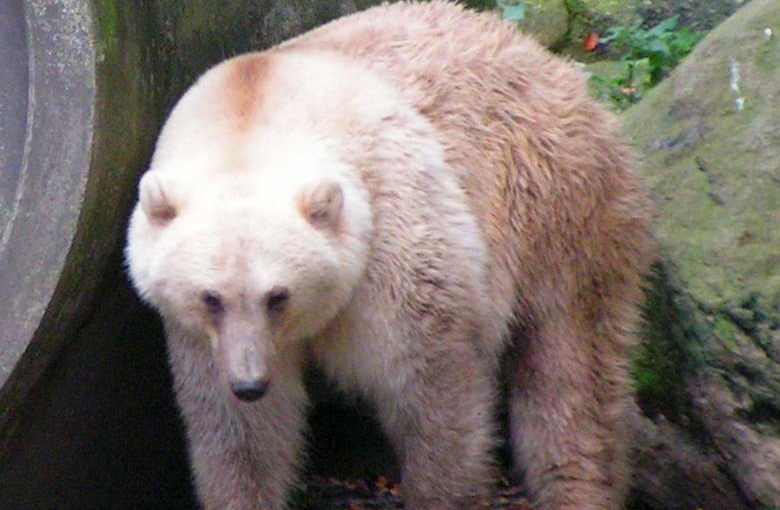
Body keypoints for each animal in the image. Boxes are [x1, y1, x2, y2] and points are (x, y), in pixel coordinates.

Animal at [125, 1, 656, 508]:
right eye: (210, 297)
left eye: (278, 296)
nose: (250, 382)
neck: (254, 115)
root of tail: (550, 61)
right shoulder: (197, 335)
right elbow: (240, 434)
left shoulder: (392, 237)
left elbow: (431, 387)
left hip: (555, 200)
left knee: (569, 362)